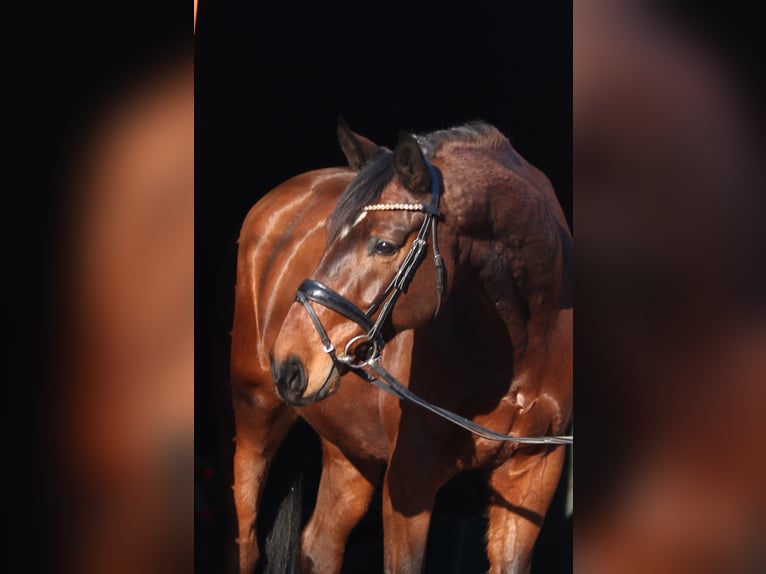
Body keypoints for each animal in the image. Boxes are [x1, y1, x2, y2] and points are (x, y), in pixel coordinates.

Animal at [270, 120, 573, 574]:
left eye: (384, 245)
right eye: (327, 234)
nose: (288, 363)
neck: (524, 348)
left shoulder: (534, 473)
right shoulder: (410, 477)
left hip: (349, 452)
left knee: (320, 544)